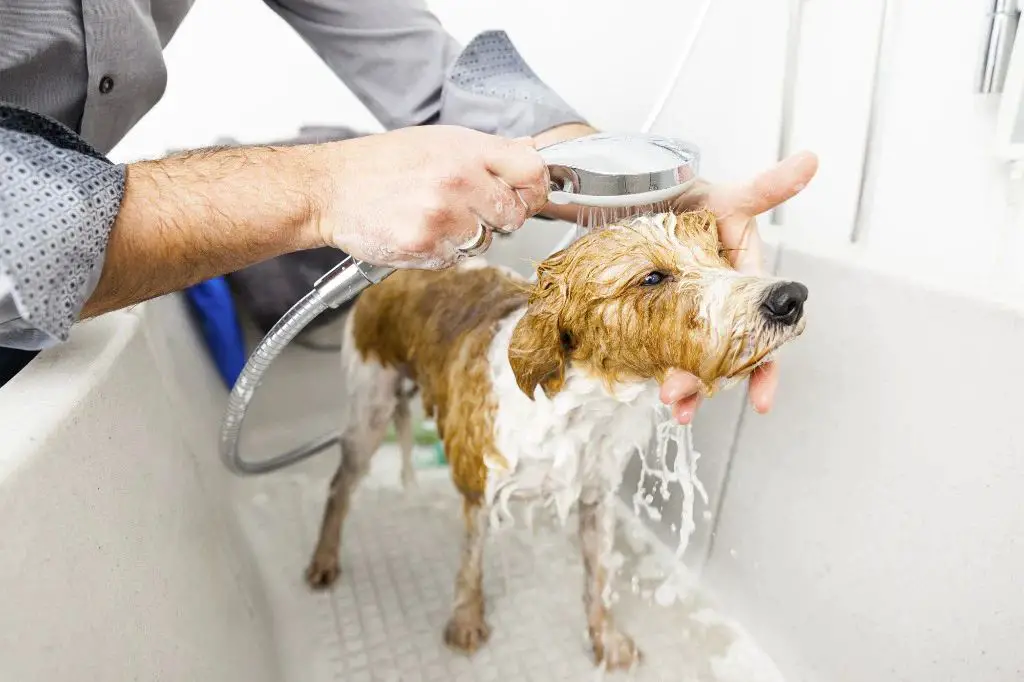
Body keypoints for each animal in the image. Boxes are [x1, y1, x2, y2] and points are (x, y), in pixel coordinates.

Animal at [303, 206, 806, 663]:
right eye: (652, 278)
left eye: (720, 252)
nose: (791, 297)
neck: (584, 408)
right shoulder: (478, 487)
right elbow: (471, 563)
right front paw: (466, 622)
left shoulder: (596, 496)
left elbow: (599, 577)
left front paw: (607, 640)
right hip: (370, 406)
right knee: (340, 484)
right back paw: (324, 560)